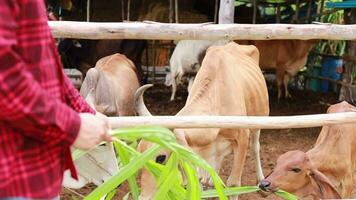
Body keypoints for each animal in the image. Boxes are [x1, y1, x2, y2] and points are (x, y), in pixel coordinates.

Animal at [135, 41, 268, 198]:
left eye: (161, 158)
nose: (144, 197)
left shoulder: (242, 138)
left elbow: (234, 184)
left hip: (258, 122)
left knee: (255, 147)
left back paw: (260, 180)